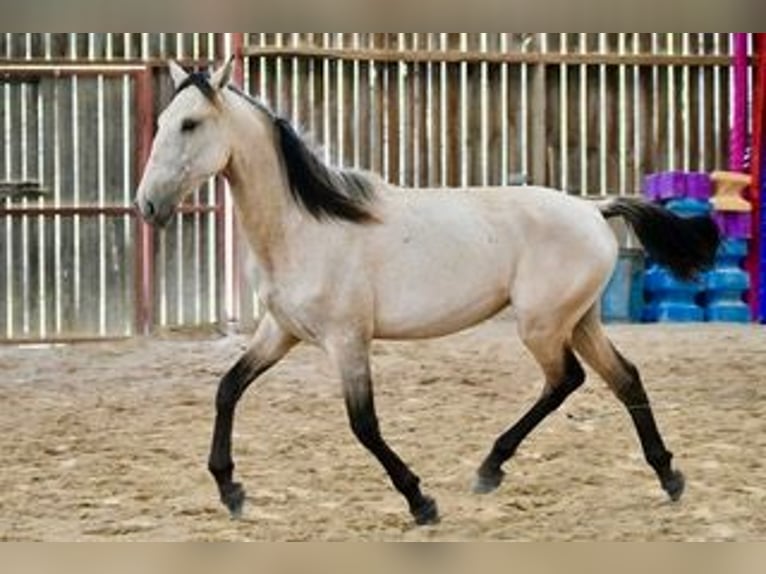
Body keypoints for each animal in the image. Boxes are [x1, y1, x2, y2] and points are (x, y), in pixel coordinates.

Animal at [136, 60, 720, 528]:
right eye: (162, 122)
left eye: (190, 123)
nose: (147, 205)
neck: (305, 226)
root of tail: (593, 209)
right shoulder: (280, 332)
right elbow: (228, 388)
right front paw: (231, 490)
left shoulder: (347, 340)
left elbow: (364, 424)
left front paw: (421, 502)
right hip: (579, 320)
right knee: (624, 378)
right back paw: (668, 476)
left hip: (542, 325)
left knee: (566, 380)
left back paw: (490, 469)